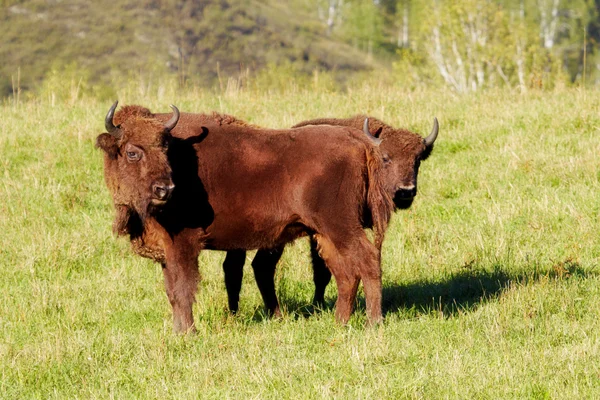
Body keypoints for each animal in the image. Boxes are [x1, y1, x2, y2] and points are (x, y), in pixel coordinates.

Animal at [98, 101, 396, 332]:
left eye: (165, 150)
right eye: (132, 152)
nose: (165, 189)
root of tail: (358, 140)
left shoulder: (182, 243)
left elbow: (183, 289)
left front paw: (188, 333)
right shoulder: (167, 249)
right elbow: (172, 290)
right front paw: (178, 331)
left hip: (341, 226)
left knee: (368, 260)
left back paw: (373, 324)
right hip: (325, 234)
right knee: (345, 273)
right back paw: (339, 323)